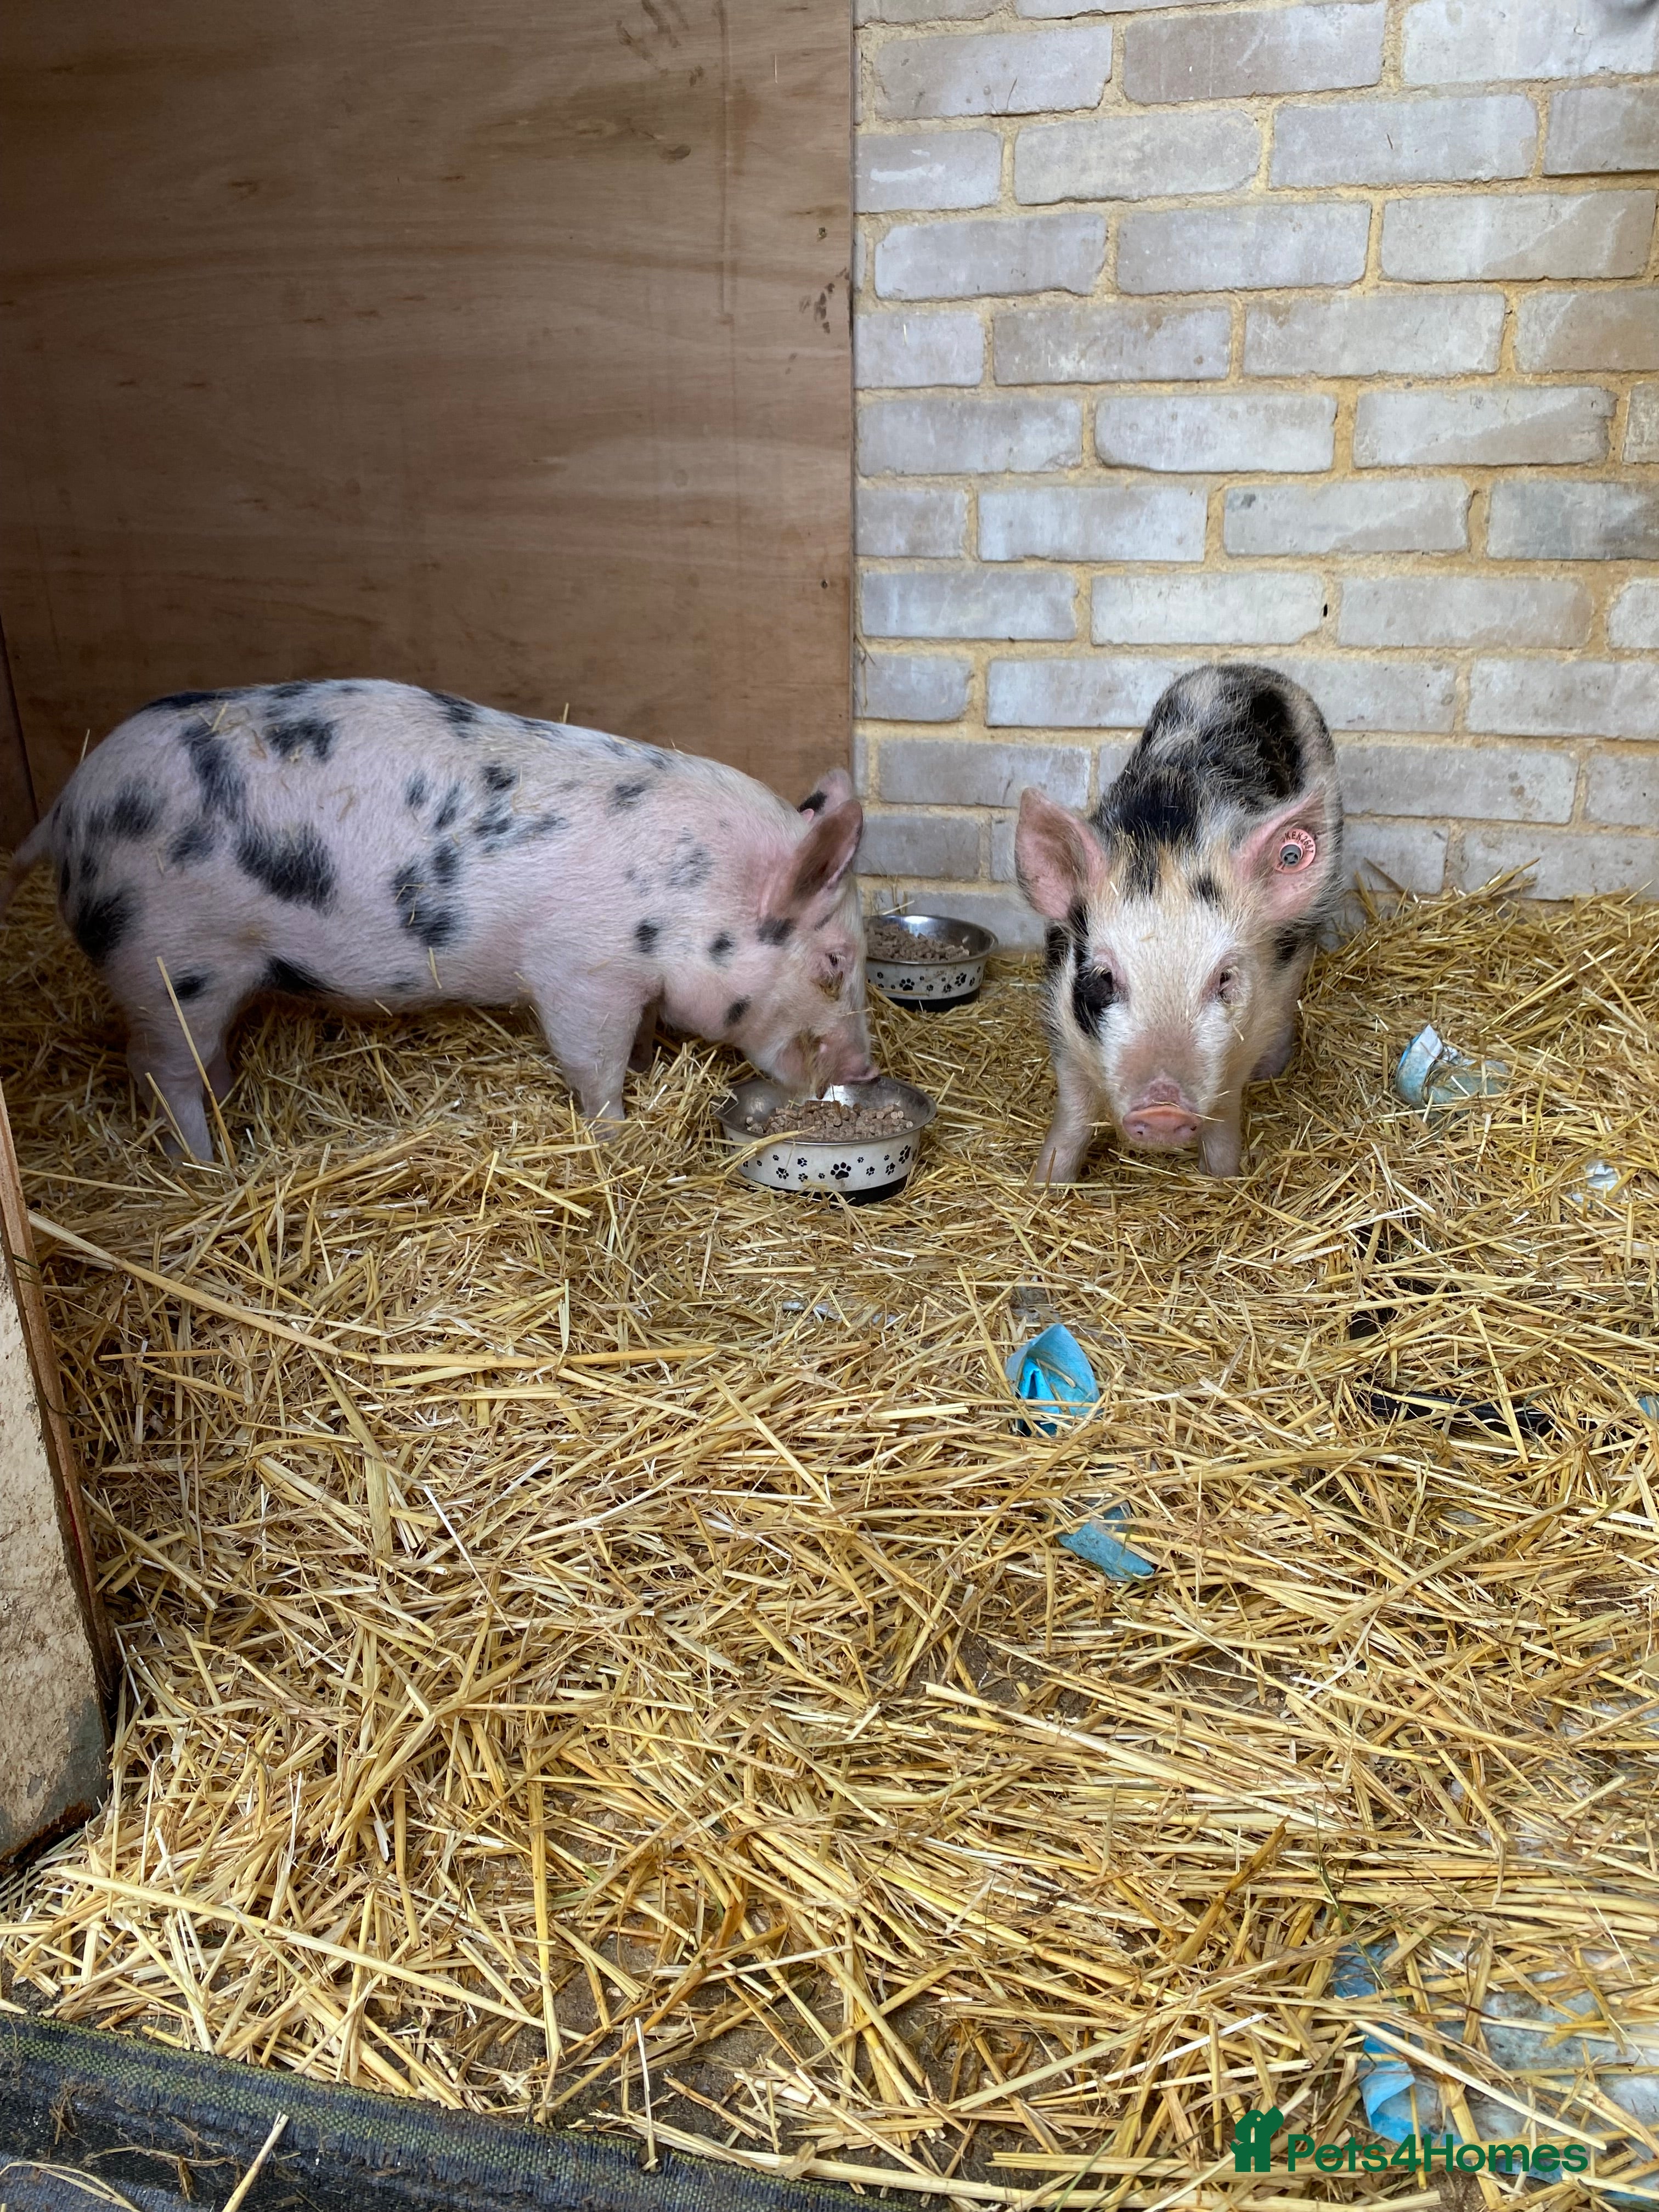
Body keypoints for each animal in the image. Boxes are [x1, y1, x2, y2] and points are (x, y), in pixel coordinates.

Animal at [0, 680, 875, 1158]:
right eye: (834, 962)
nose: (864, 1070)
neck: (685, 893)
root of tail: (71, 810)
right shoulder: (582, 974)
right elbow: (594, 1069)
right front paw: (616, 1135)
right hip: (168, 961)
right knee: (160, 1068)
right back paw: (209, 1167)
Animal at [1014, 662, 1342, 1184]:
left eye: (1224, 978)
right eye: (1103, 977)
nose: (1162, 1111)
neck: (1169, 835)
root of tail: (1243, 667)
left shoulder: (1249, 1027)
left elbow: (1225, 1111)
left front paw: (1224, 1181)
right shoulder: (1059, 1012)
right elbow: (1074, 1110)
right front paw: (1044, 1185)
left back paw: (1272, 1071)